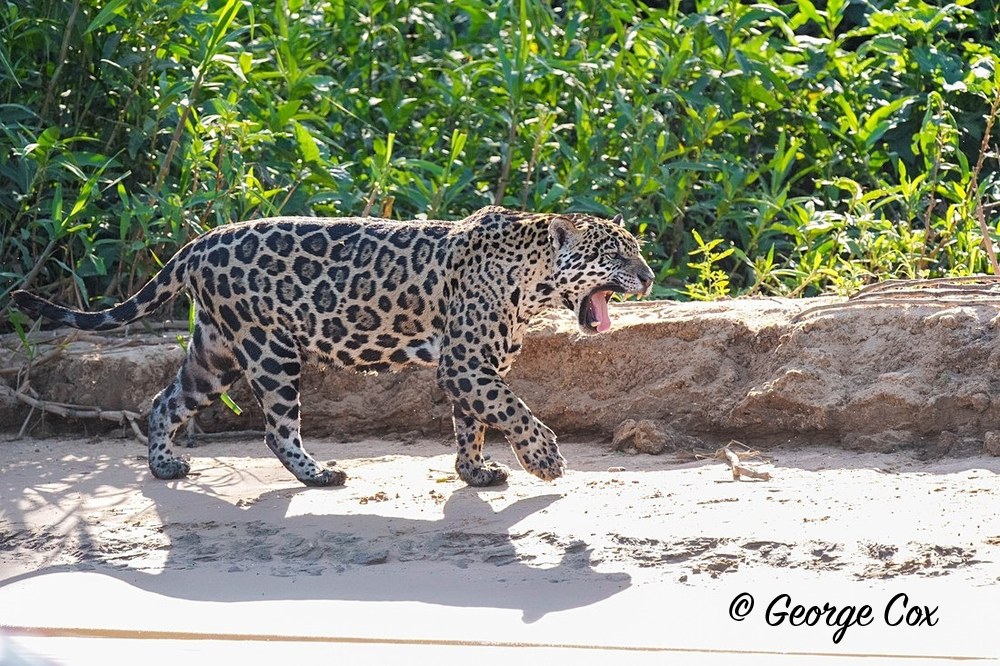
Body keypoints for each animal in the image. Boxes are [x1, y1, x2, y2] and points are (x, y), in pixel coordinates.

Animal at [12, 205, 655, 487]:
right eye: (616, 253)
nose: (648, 277)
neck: (533, 280)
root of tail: (199, 242)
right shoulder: (467, 364)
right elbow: (512, 410)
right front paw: (544, 461)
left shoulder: (473, 367)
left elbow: (471, 422)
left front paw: (475, 472)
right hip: (269, 350)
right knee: (276, 428)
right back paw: (318, 473)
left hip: (215, 352)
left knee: (163, 400)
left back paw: (165, 465)